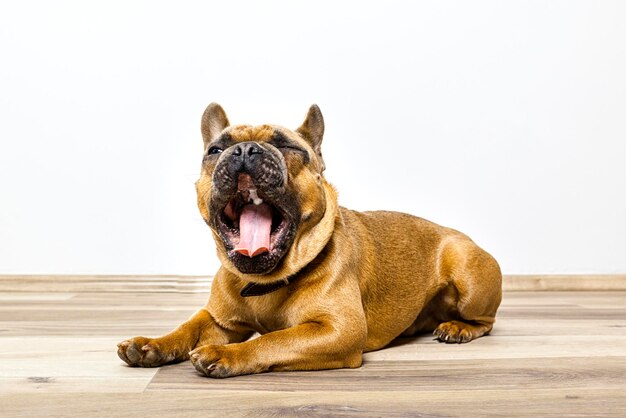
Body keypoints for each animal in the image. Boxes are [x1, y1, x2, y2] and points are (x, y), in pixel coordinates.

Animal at [117, 103, 500, 378]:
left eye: (287, 146)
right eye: (214, 150)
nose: (244, 150)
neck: (264, 283)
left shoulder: (337, 330)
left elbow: (275, 339)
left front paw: (225, 354)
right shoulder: (219, 321)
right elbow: (188, 327)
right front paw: (151, 343)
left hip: (467, 275)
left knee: (485, 322)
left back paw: (458, 328)